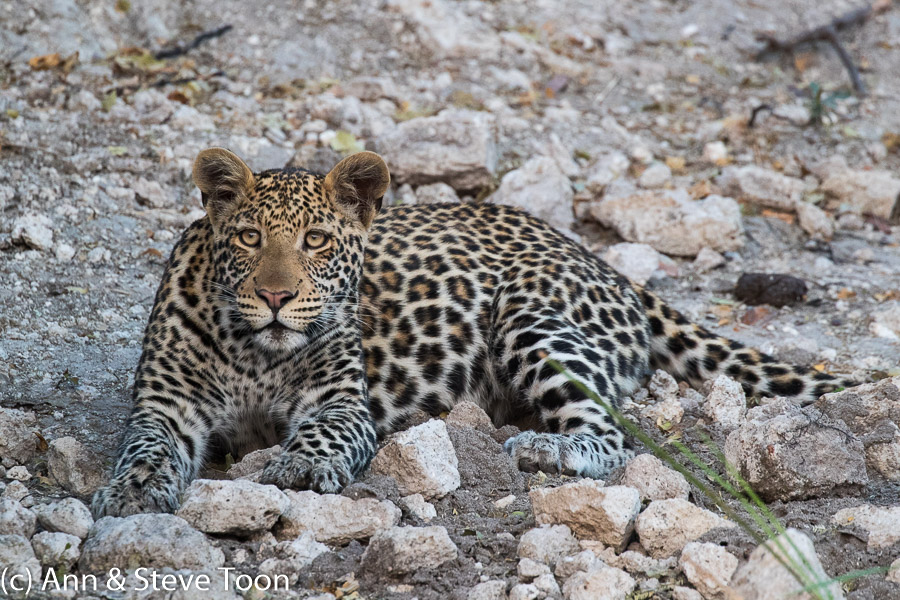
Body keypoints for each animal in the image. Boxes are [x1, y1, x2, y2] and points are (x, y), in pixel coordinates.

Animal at [91, 147, 856, 517]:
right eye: (250, 238)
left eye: (316, 241)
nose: (276, 296)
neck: (256, 354)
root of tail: (594, 255)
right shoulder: (165, 408)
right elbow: (145, 450)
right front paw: (130, 494)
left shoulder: (341, 402)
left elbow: (324, 433)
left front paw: (300, 467)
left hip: (528, 318)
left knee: (612, 431)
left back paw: (546, 450)